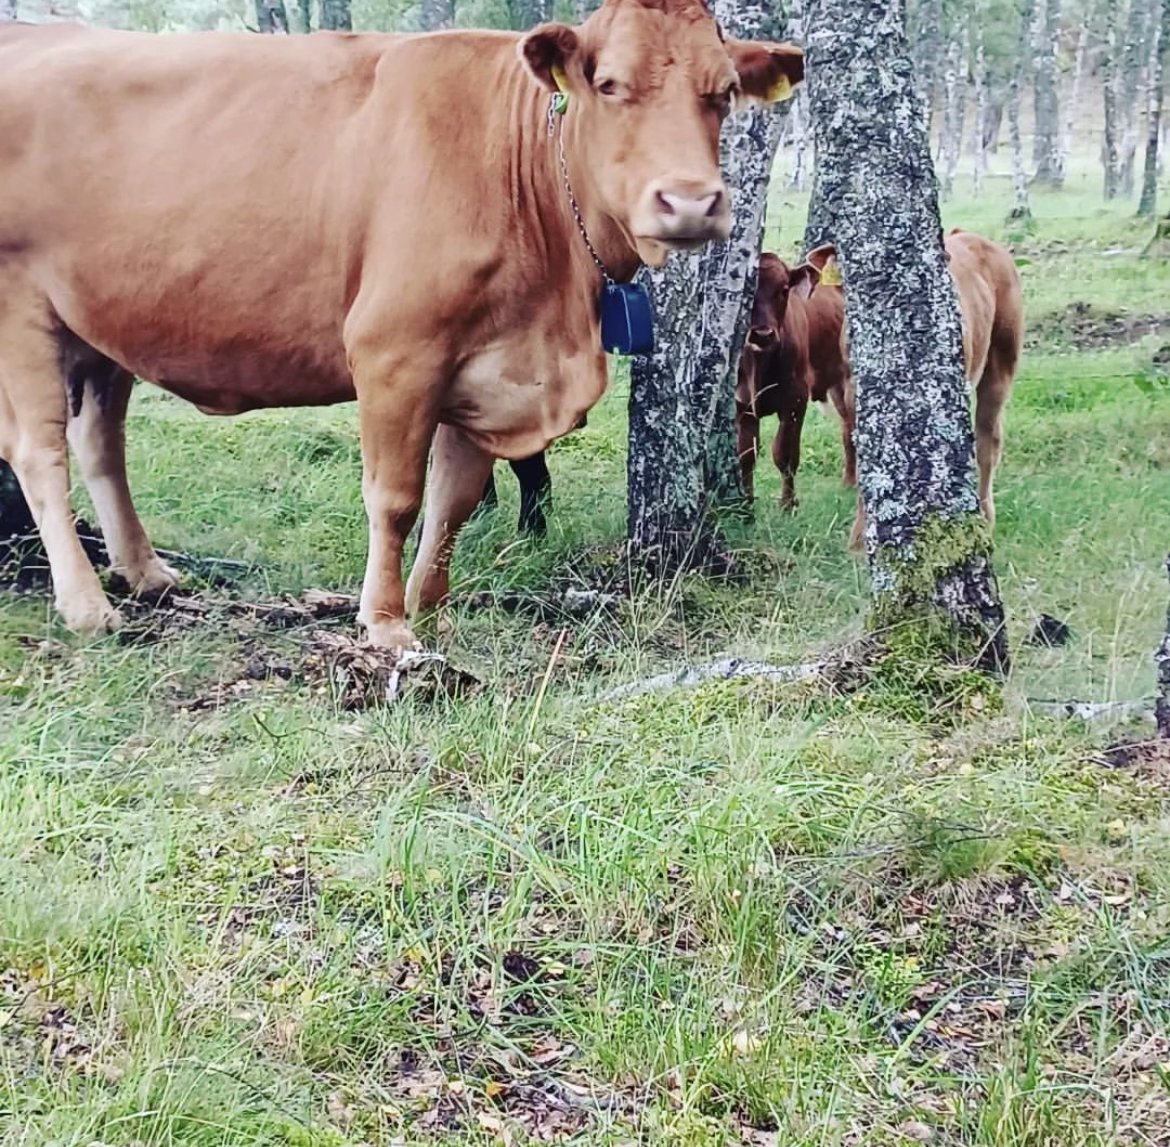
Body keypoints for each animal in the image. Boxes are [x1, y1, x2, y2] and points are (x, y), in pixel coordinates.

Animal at [0, 4, 803, 649]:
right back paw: (89, 606)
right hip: (21, 308)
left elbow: (453, 499)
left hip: (100, 322)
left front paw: (432, 607)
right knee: (40, 452)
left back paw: (145, 571)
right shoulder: (395, 352)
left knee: (101, 442)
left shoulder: (486, 368)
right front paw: (385, 621)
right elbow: (397, 498)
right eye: (608, 84)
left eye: (723, 93)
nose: (690, 202)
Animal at [735, 251, 853, 510]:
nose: (763, 334)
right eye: (749, 292)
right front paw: (746, 506)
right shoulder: (742, 405)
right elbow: (746, 455)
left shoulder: (795, 402)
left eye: (784, 289)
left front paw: (788, 505)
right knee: (847, 429)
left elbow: (785, 455)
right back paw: (848, 482)